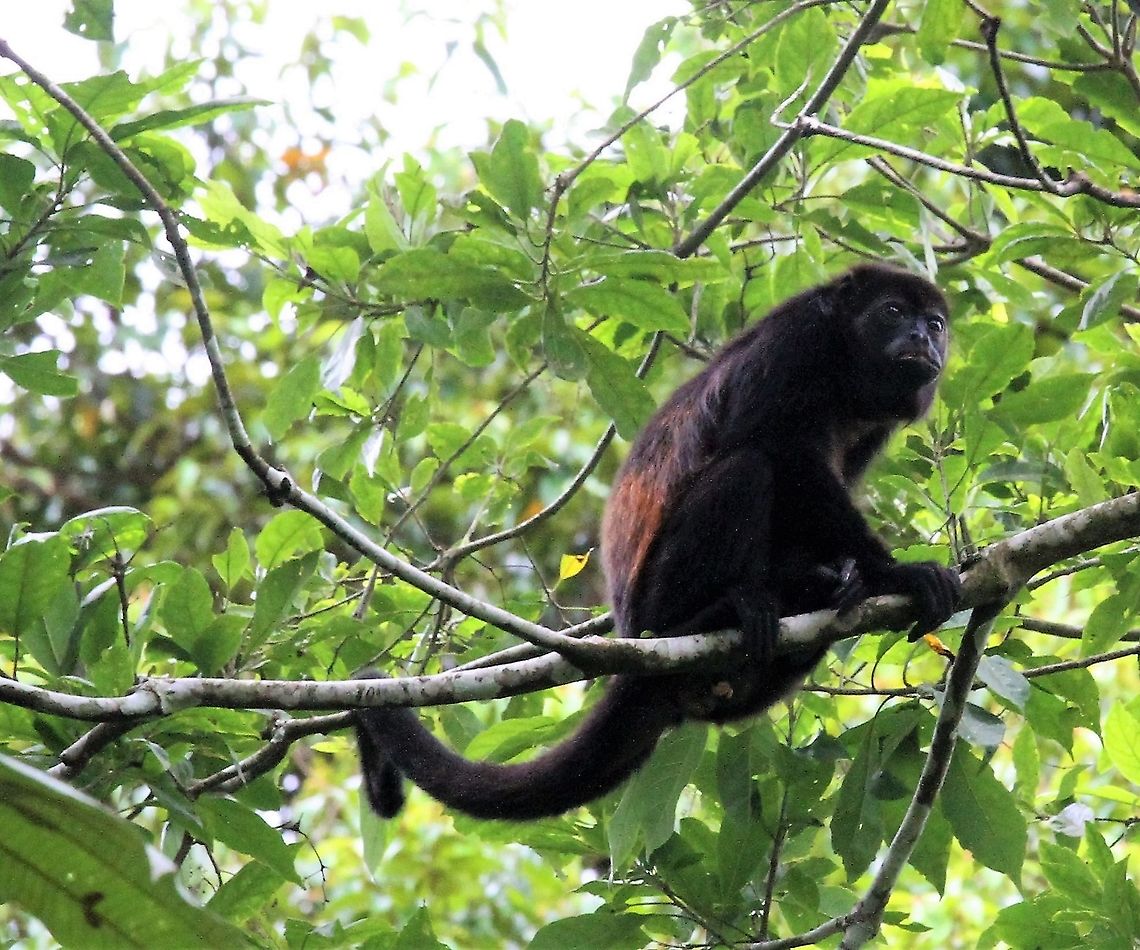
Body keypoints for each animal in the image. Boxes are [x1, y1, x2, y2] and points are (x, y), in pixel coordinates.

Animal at [355, 262, 962, 821]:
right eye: (892, 312)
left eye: (935, 323)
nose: (923, 338)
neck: (846, 370)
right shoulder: (796, 346)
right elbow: (786, 455)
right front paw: (895, 573)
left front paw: (850, 576)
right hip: (657, 601)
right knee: (746, 468)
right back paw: (715, 613)